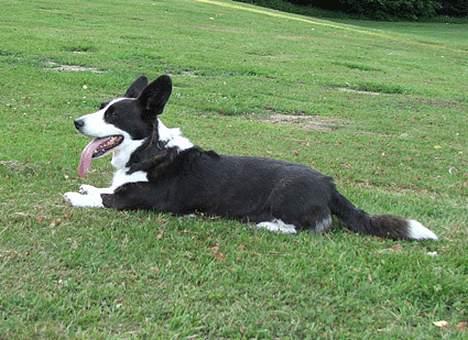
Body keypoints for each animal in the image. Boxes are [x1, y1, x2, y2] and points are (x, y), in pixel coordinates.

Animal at [65, 75, 438, 239]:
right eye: (101, 107)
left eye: (113, 115)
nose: (77, 122)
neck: (149, 150)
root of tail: (330, 185)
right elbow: (105, 189)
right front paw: (88, 188)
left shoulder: (137, 200)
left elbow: (109, 198)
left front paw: (75, 195)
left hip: (286, 194)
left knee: (311, 227)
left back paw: (270, 225)